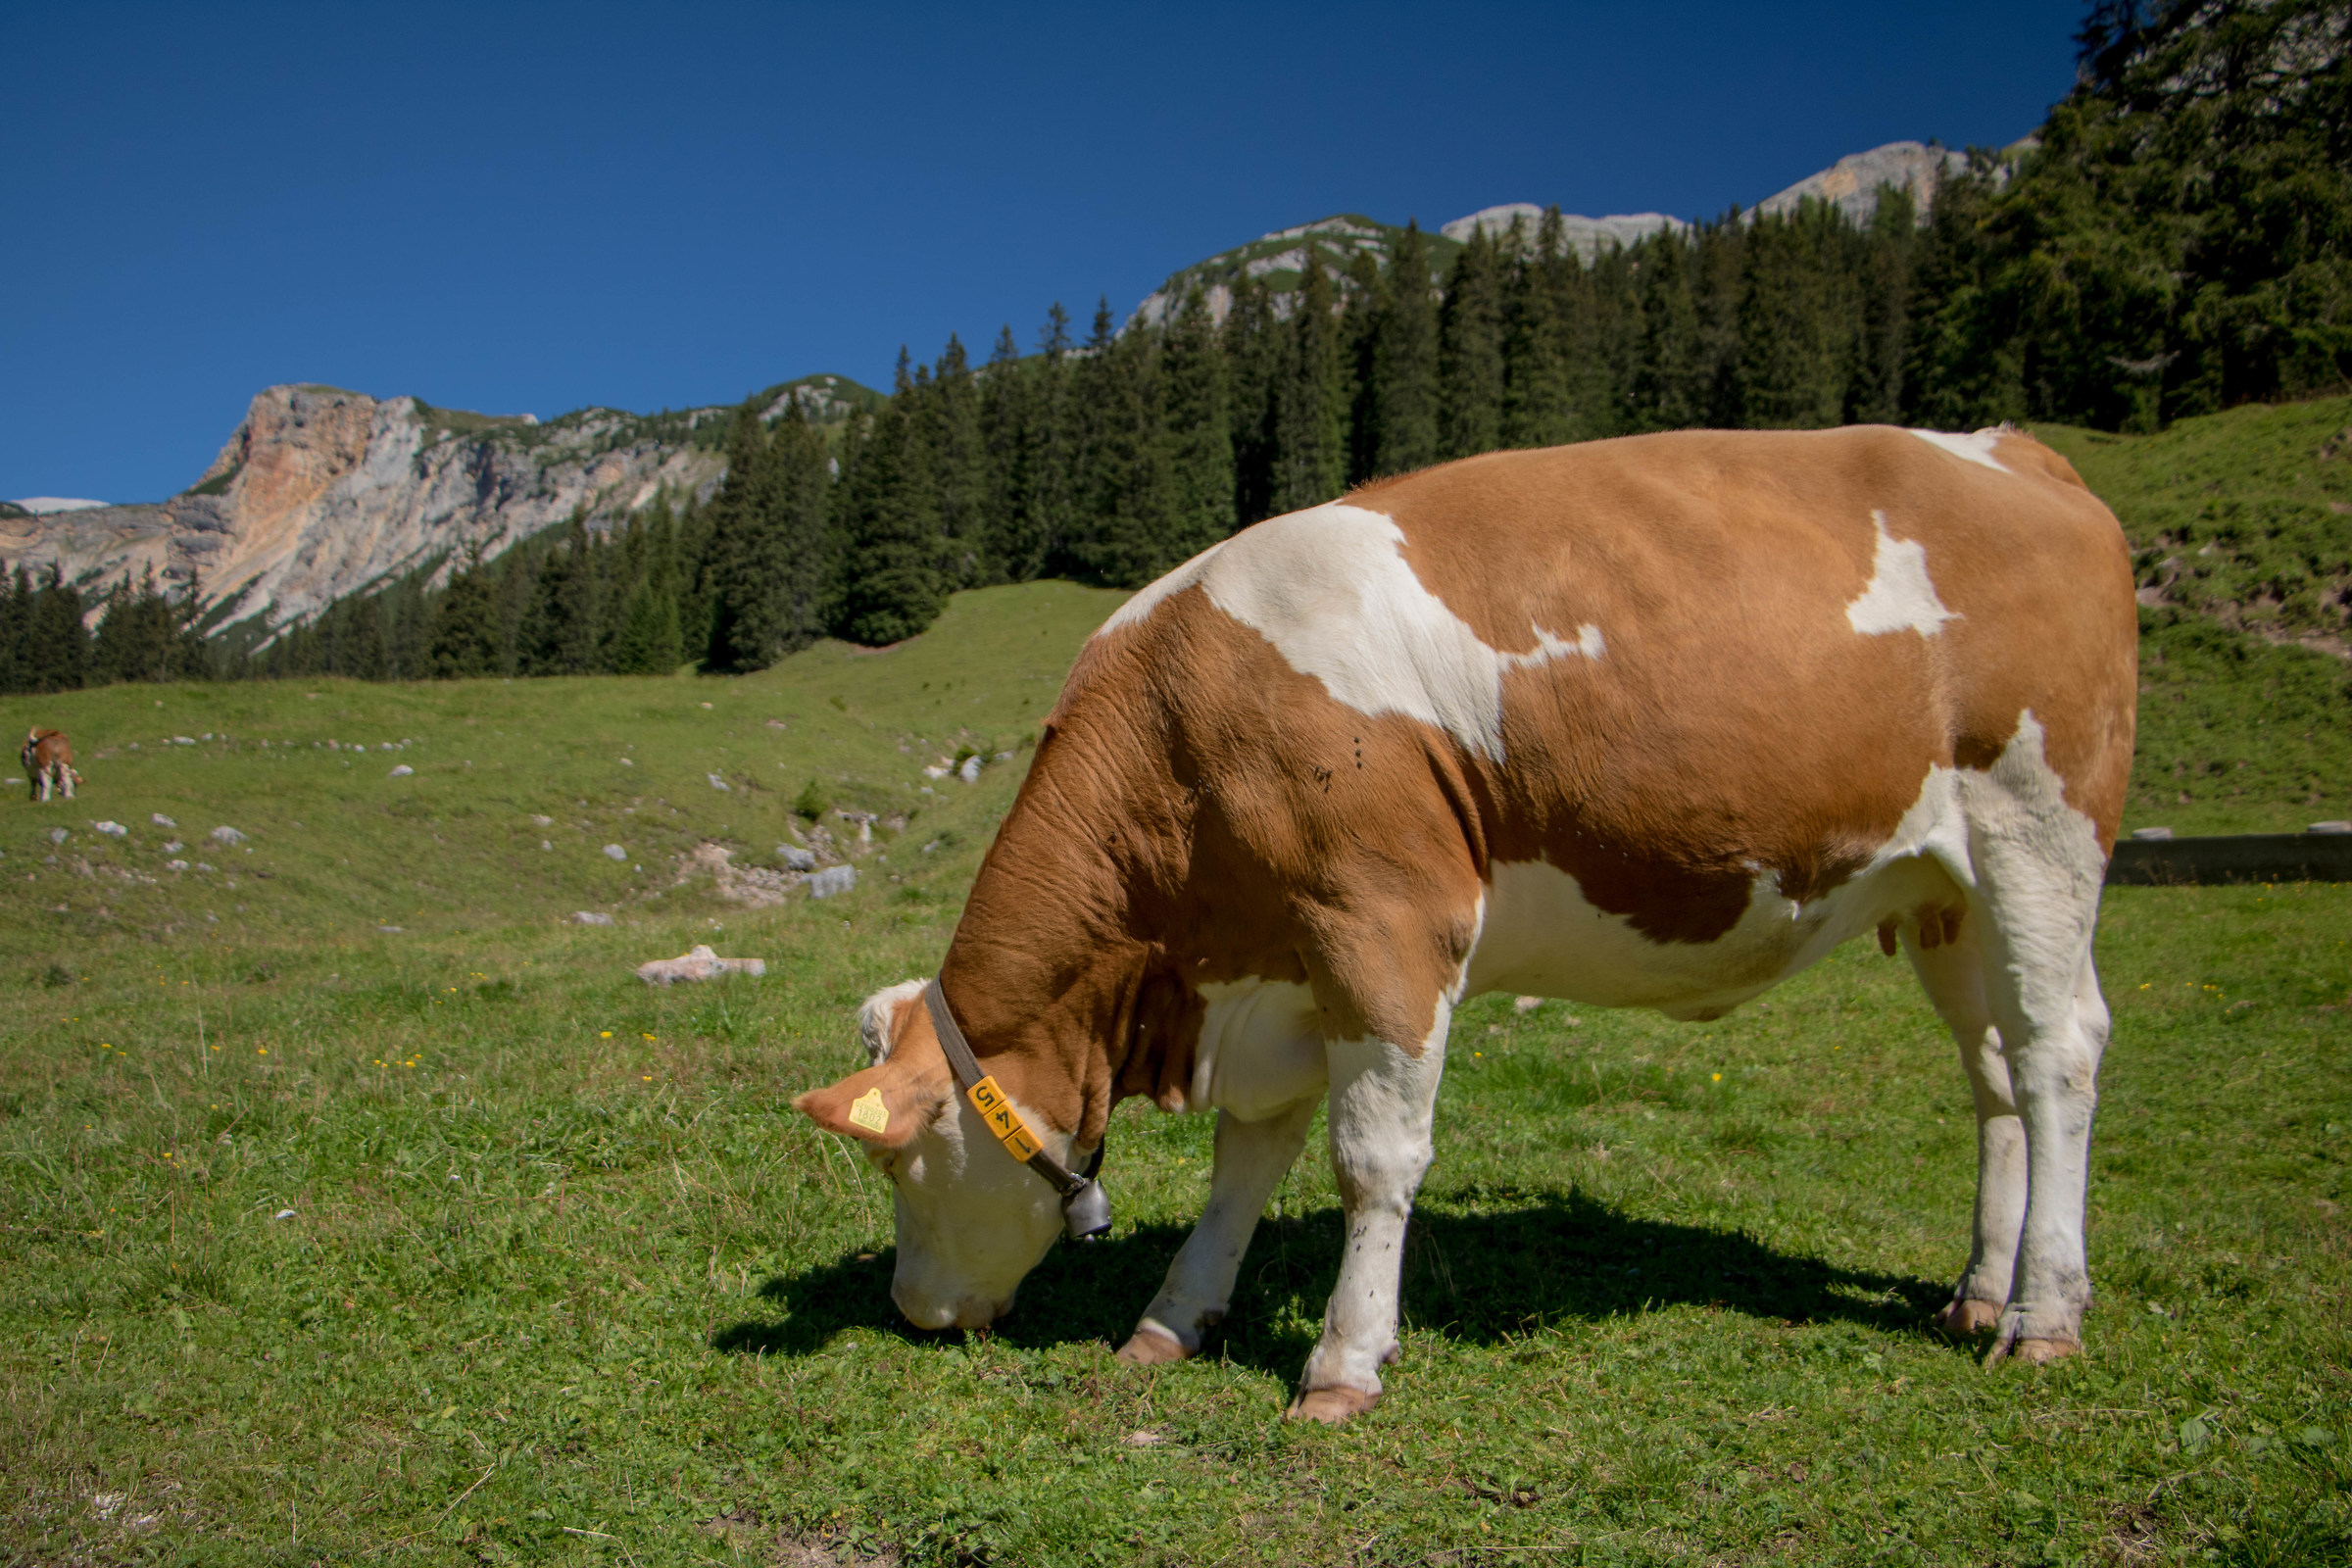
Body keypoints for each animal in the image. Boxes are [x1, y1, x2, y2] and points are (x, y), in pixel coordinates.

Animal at [795, 425, 2137, 1423]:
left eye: (900, 1160)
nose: (913, 1310)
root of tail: (2013, 449)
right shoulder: (1280, 968)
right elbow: (1245, 1163)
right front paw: (1171, 1322)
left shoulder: (1385, 917)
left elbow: (1372, 1158)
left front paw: (1342, 1366)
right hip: (1944, 891)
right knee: (1994, 1077)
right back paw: (1977, 1290)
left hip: (2039, 832)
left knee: (2059, 1055)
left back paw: (2046, 1317)